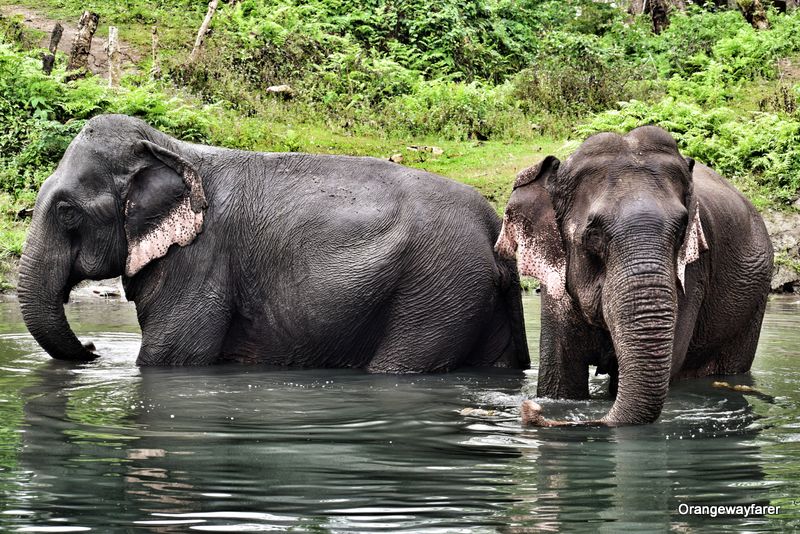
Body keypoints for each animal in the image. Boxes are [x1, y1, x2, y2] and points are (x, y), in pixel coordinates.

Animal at [17, 114, 532, 372]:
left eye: (66, 211)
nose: (92, 348)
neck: (171, 147)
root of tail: (493, 226)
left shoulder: (200, 260)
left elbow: (170, 356)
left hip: (440, 291)